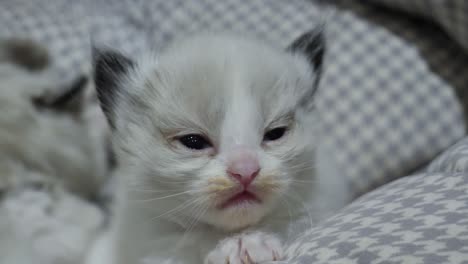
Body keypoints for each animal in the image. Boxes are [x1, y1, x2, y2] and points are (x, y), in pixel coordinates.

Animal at [89, 29, 350, 262]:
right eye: (193, 141)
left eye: (275, 133)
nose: (245, 170)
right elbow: (192, 236)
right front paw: (238, 245)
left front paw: (251, 242)